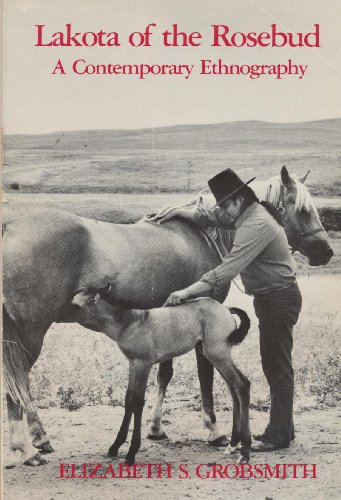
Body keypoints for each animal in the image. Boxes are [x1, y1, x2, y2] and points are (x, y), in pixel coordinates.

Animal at [72, 290, 252, 464]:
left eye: (75, 305)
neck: (128, 323)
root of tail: (226, 309)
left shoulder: (143, 364)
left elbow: (137, 401)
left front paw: (131, 453)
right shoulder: (132, 364)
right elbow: (128, 399)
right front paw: (115, 446)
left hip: (217, 354)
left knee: (242, 384)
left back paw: (245, 451)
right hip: (213, 354)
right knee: (234, 389)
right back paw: (233, 444)